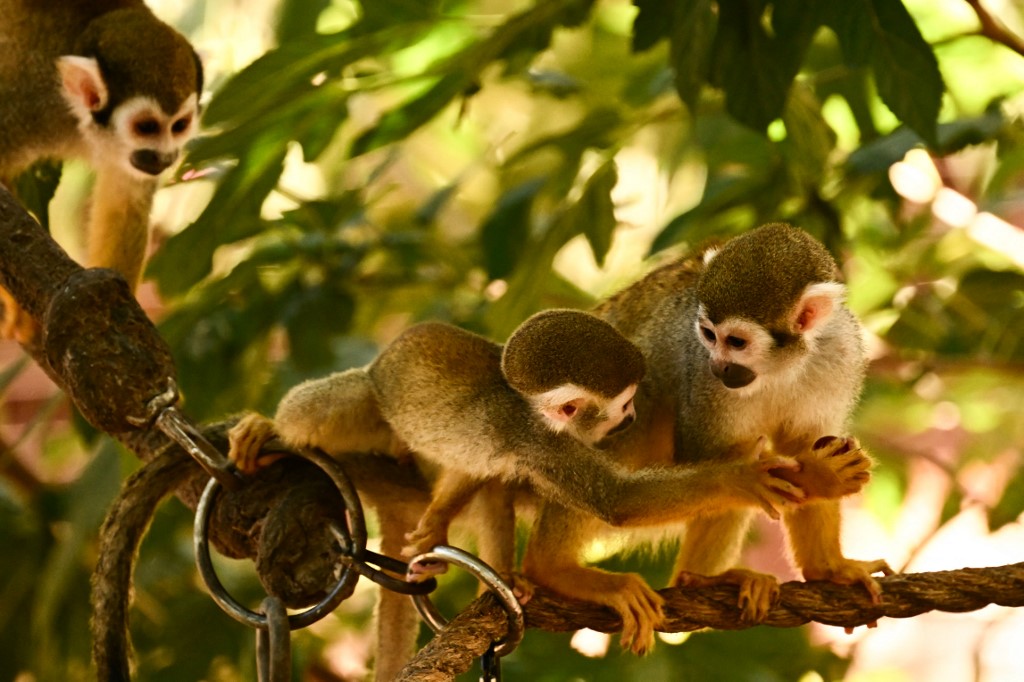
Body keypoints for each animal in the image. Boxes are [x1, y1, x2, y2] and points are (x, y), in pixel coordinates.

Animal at [0, 0, 203, 341]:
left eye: (179, 126)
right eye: (146, 127)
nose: (165, 158)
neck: (75, 115)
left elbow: (124, 204)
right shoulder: (27, 106)